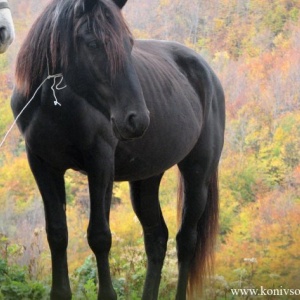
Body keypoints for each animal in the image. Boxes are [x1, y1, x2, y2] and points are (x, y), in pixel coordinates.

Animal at [11, 0, 225, 298]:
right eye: (92, 43)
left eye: (129, 43)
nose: (137, 119)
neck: (56, 105)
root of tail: (206, 71)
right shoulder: (43, 164)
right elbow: (57, 233)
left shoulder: (100, 164)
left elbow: (99, 235)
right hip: (147, 178)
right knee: (156, 238)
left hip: (197, 174)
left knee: (186, 241)